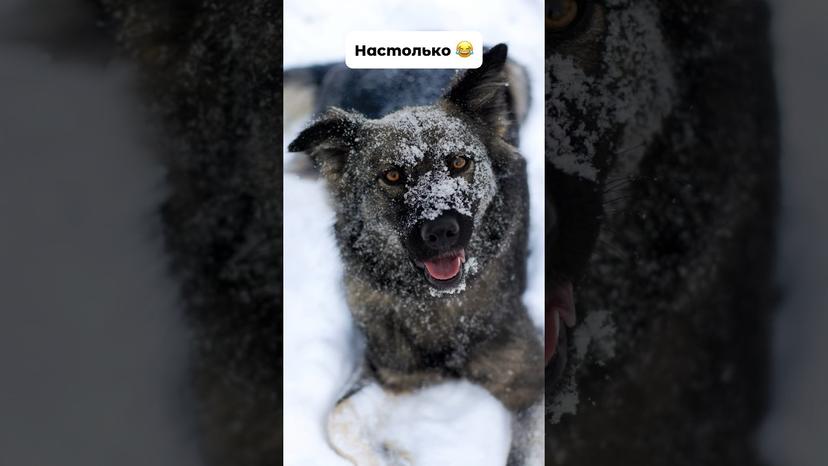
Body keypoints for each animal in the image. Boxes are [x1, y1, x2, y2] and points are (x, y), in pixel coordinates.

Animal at [288, 42, 548, 462]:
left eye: (459, 162)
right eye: (392, 176)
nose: (441, 231)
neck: (437, 306)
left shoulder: (530, 379)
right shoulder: (390, 369)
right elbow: (338, 420)